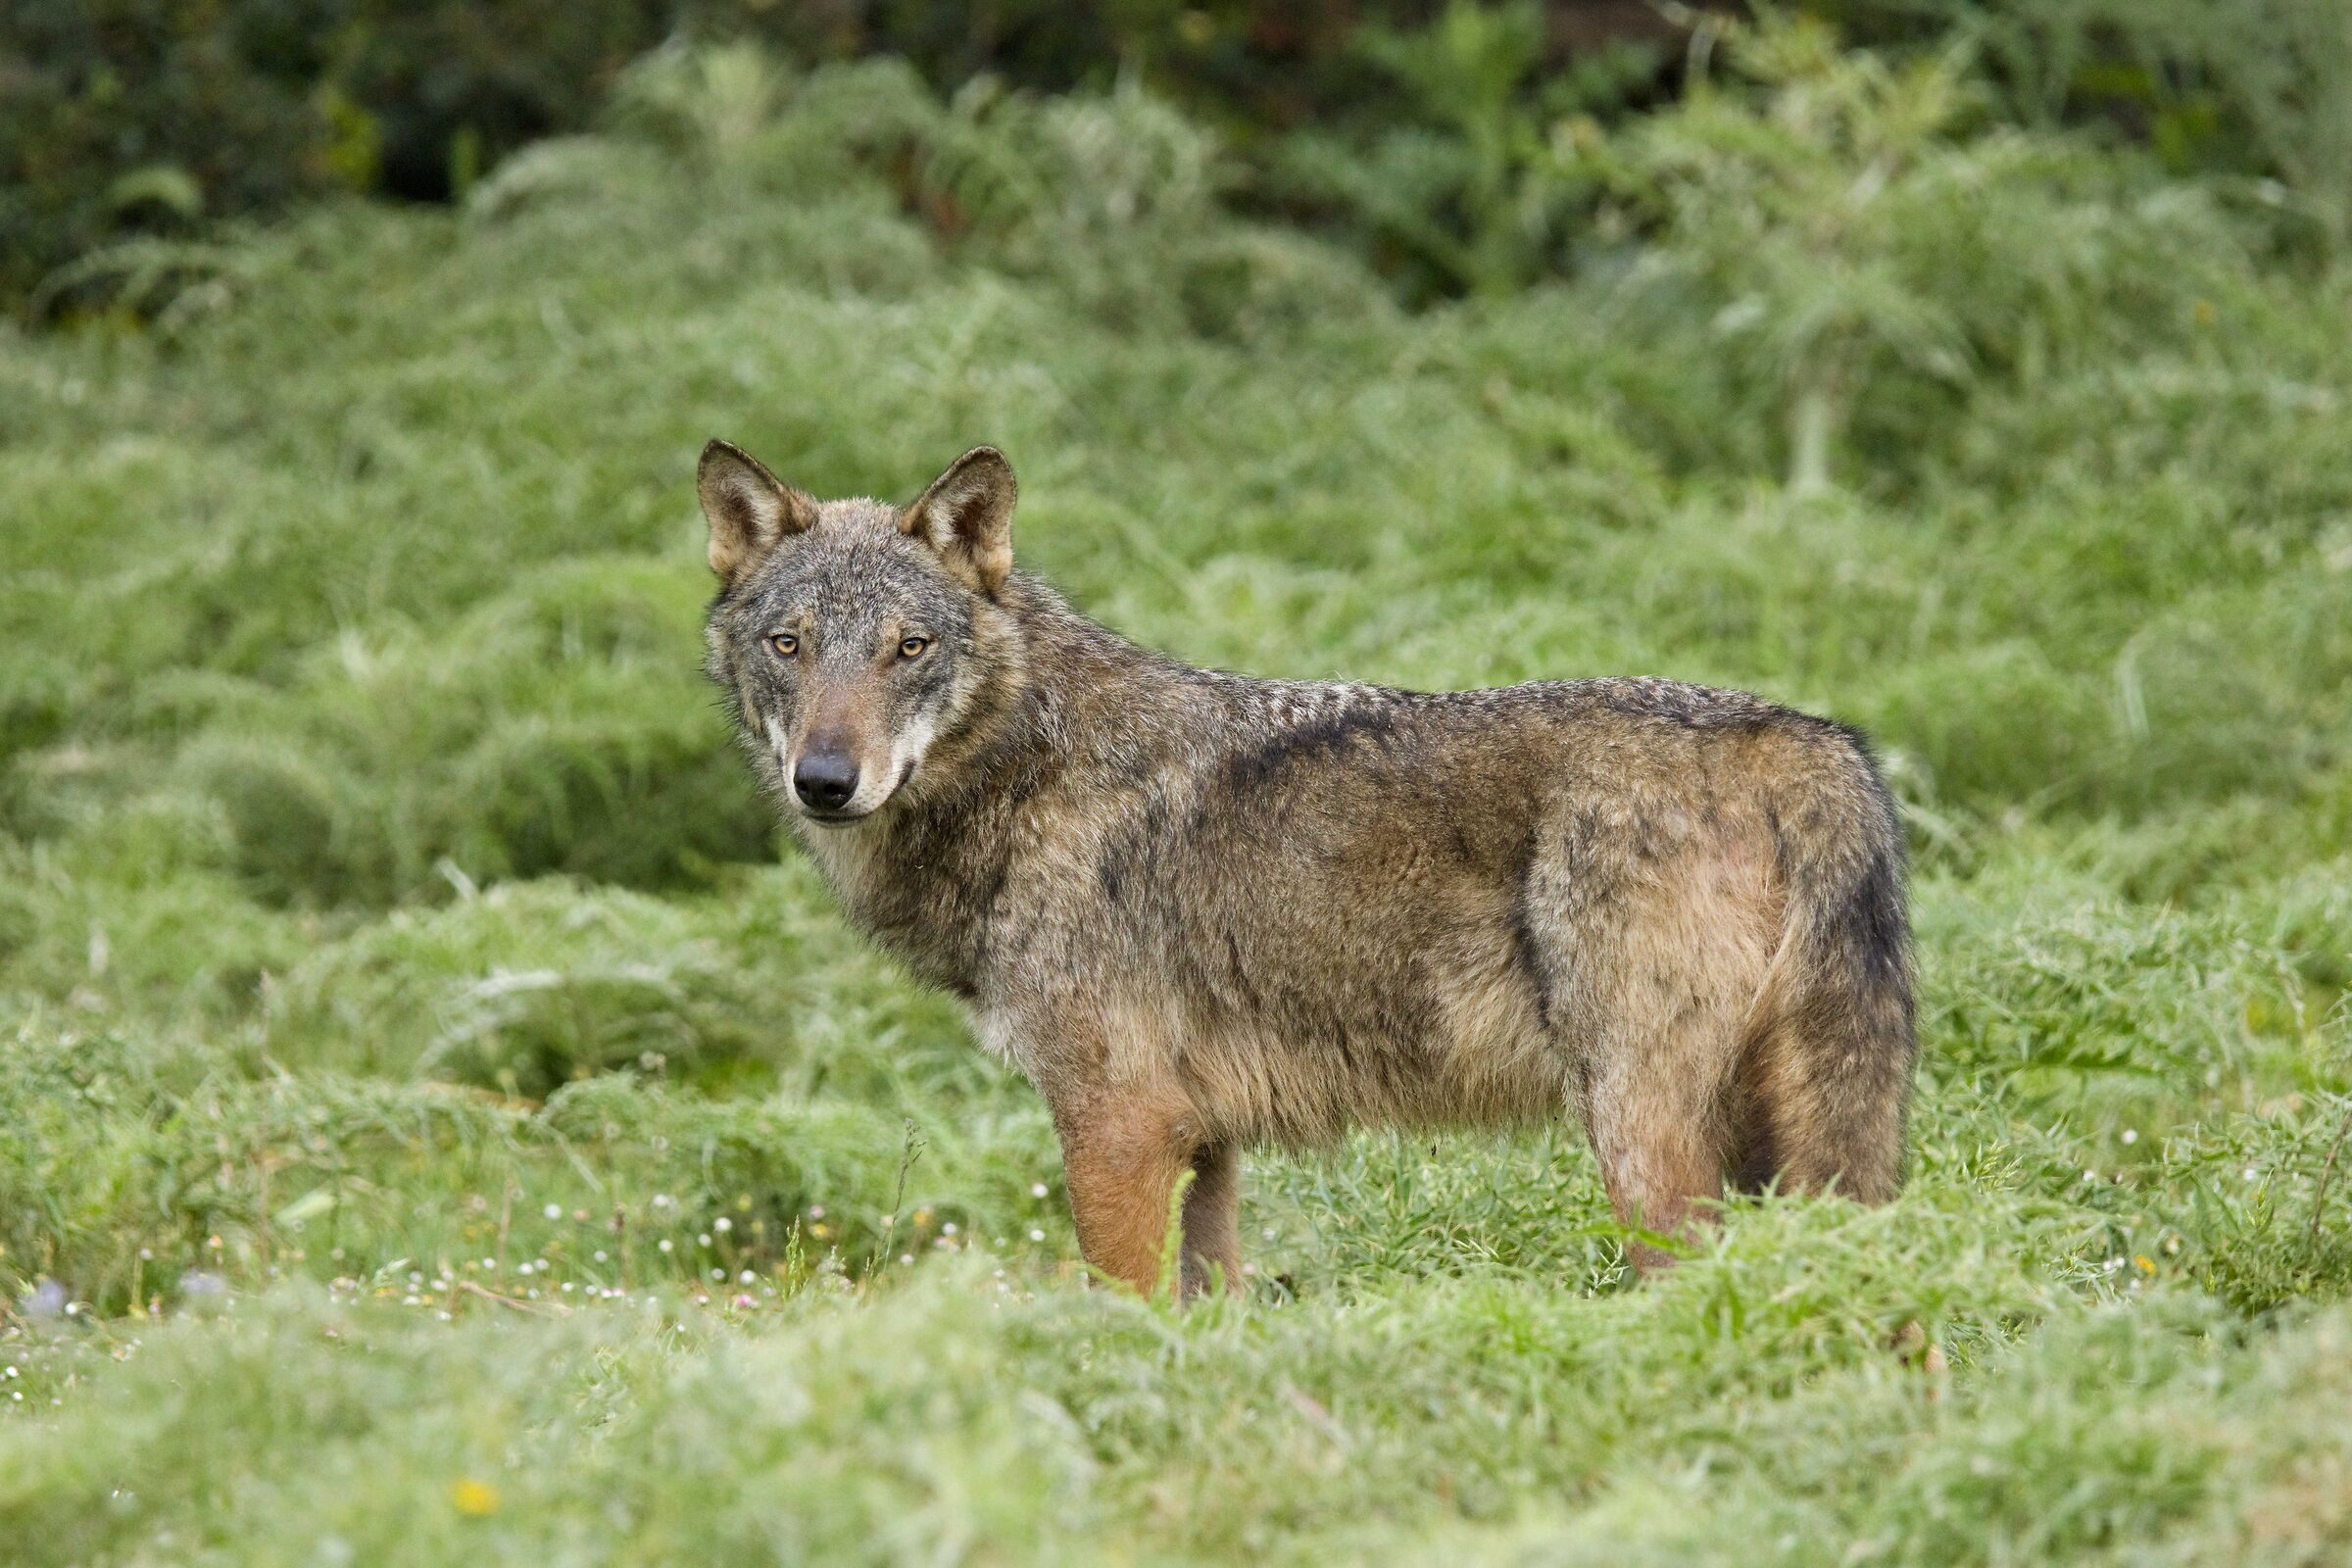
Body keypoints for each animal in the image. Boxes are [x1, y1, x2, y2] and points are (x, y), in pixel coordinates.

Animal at [698, 439, 1915, 1295]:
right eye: (789, 645)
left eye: (908, 648)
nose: (825, 779)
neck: (1029, 771)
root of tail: (1803, 735)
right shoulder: (1203, 1143)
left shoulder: (1116, 1124)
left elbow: (1122, 1309)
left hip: (1642, 1139)